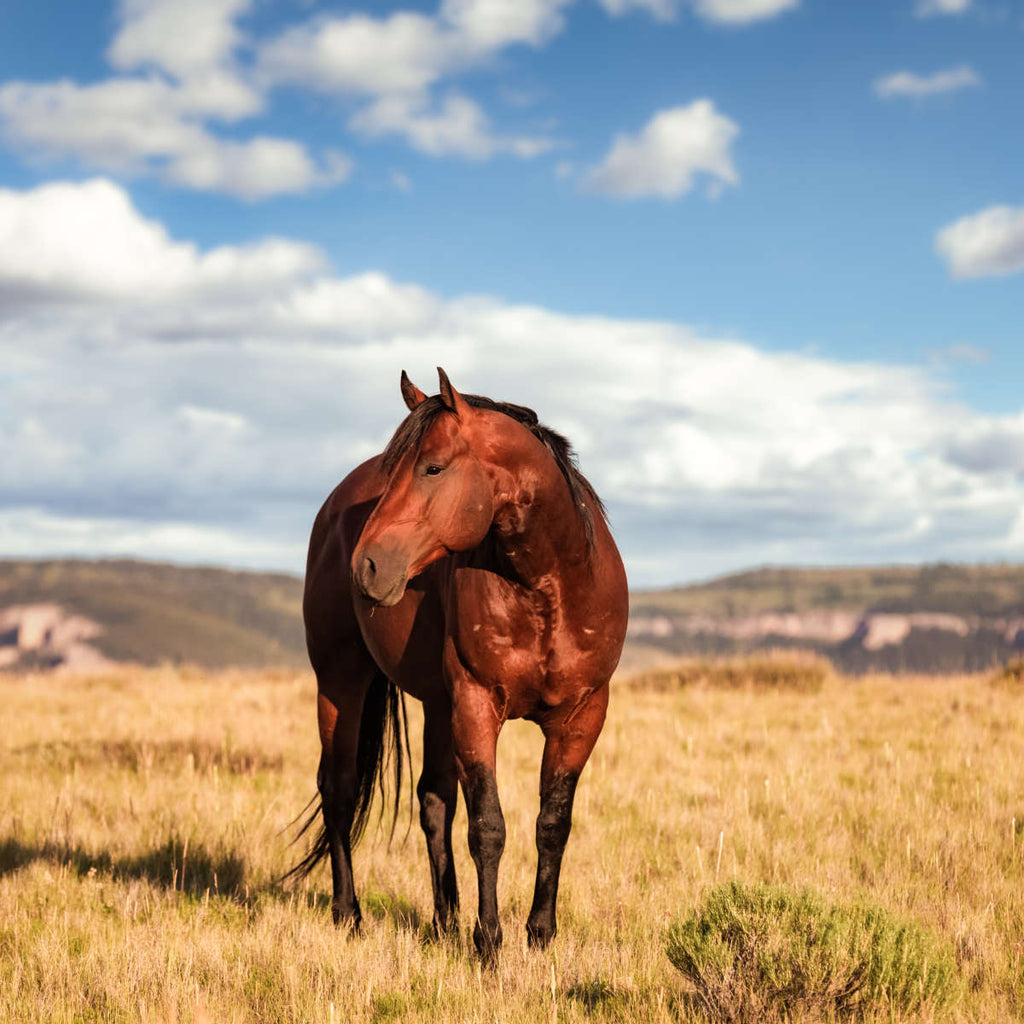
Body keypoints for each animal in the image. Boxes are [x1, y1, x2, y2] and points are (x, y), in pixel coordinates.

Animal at [292, 370, 626, 958]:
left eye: (433, 467)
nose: (366, 566)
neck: (548, 587)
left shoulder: (581, 717)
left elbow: (552, 823)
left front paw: (540, 934)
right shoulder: (476, 705)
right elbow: (488, 827)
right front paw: (488, 942)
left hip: (436, 704)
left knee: (433, 801)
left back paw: (443, 920)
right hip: (340, 681)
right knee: (339, 788)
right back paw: (349, 914)